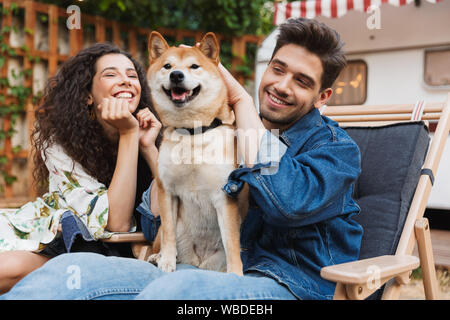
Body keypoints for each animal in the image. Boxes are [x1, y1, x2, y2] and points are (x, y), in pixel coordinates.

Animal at [147, 30, 246, 276]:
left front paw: (236, 274)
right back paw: (157, 256)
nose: (176, 75)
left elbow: (232, 244)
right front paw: (167, 261)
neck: (192, 133)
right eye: (167, 66)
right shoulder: (167, 191)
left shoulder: (225, 195)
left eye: (194, 66)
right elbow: (169, 234)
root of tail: (198, 262)